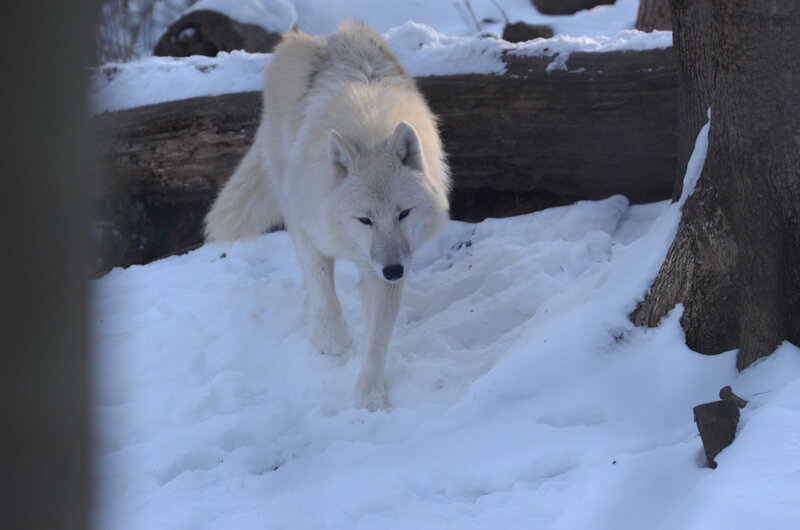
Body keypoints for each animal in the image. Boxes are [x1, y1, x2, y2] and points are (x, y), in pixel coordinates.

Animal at [204, 21, 450, 410]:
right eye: (365, 220)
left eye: (403, 213)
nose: (394, 271)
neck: (372, 127)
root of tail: (312, 36)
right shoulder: (309, 227)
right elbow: (322, 287)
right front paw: (330, 338)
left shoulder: (385, 263)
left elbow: (378, 335)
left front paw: (370, 398)